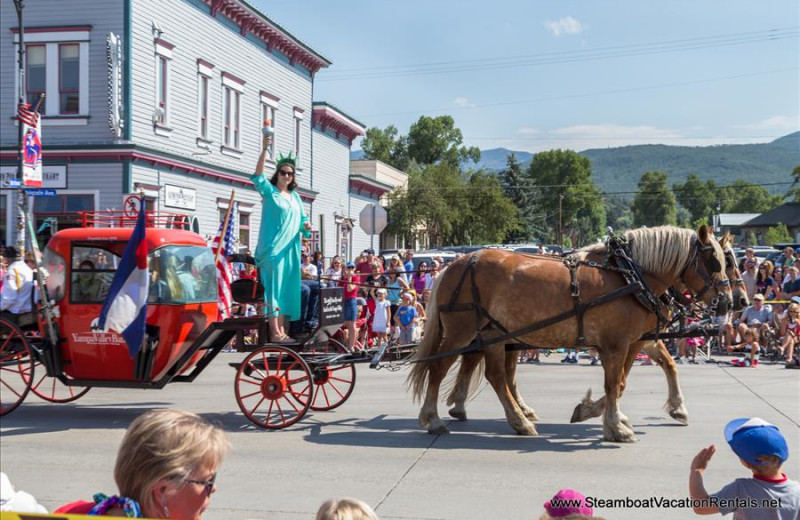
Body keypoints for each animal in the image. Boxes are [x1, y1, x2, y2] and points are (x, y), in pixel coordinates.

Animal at [406, 225, 732, 440]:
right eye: (716, 261)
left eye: (728, 260)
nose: (731, 301)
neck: (630, 276)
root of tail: (455, 264)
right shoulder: (616, 344)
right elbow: (615, 384)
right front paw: (615, 426)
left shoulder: (634, 341)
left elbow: (632, 378)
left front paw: (605, 415)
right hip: (462, 331)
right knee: (439, 368)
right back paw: (434, 419)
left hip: (493, 333)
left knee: (497, 376)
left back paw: (516, 419)